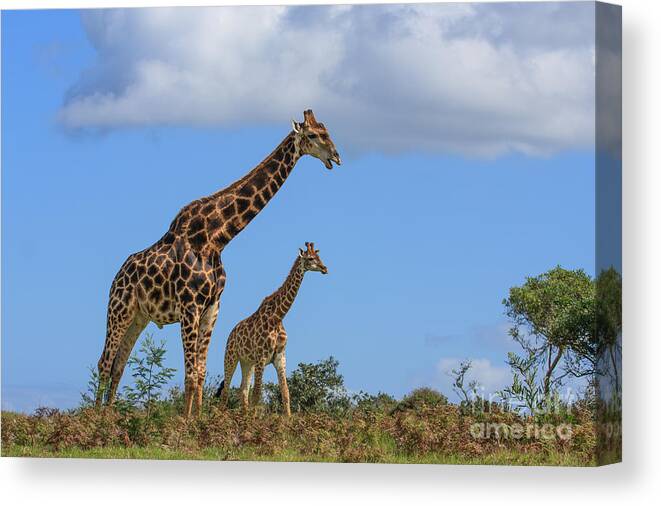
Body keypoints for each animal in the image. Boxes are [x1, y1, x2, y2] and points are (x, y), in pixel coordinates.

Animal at [218, 243, 328, 418]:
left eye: (319, 257)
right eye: (311, 258)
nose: (325, 268)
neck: (277, 317)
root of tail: (231, 333)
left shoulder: (280, 358)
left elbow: (285, 392)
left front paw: (288, 420)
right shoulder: (262, 357)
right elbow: (257, 394)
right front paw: (253, 421)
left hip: (247, 362)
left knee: (243, 389)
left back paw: (243, 416)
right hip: (231, 357)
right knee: (226, 390)